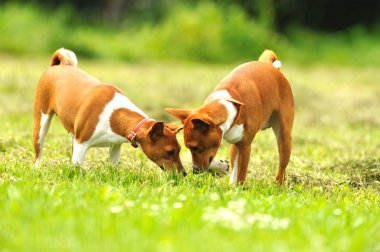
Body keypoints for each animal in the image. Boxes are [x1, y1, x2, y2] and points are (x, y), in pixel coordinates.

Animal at [33, 47, 186, 175]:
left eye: (179, 150)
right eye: (170, 151)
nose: (184, 173)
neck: (113, 115)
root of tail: (60, 65)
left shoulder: (115, 146)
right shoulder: (81, 145)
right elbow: (78, 169)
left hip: (73, 135)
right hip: (41, 124)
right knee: (38, 153)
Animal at [166, 49, 294, 185]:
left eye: (197, 148)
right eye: (188, 148)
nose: (195, 170)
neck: (229, 104)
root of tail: (271, 67)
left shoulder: (245, 146)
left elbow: (241, 173)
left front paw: (240, 188)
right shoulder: (236, 143)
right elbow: (233, 170)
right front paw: (231, 185)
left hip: (284, 138)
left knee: (281, 168)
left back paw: (279, 186)